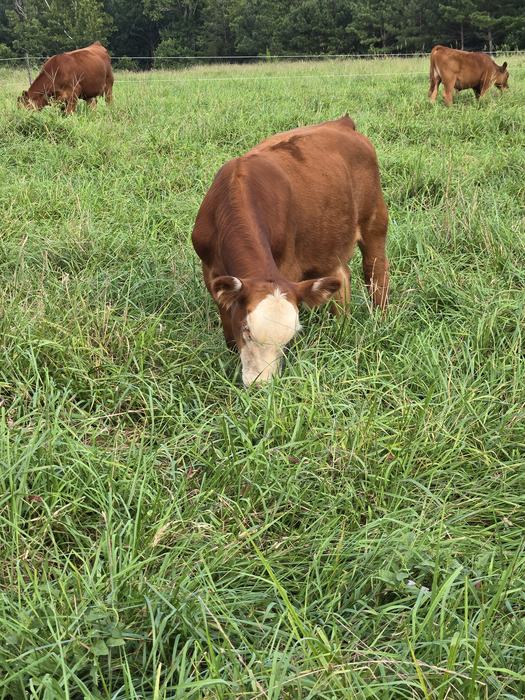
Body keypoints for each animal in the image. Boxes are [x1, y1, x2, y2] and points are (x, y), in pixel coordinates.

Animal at [191, 116, 389, 386]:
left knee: (375, 270)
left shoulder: (288, 267)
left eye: (290, 338)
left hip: (375, 221)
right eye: (246, 330)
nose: (260, 386)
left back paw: (380, 317)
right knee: (341, 276)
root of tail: (342, 123)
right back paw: (340, 325)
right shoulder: (210, 270)